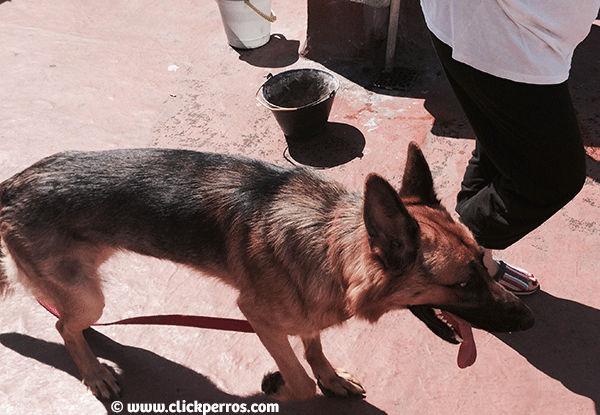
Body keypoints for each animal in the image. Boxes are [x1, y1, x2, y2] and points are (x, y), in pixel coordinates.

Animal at [1, 143, 536, 404]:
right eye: (462, 283)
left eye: (484, 263)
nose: (528, 321)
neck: (330, 243)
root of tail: (11, 185)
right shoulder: (256, 315)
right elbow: (299, 381)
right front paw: (281, 387)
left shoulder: (306, 310)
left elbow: (314, 345)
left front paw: (330, 377)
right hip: (89, 294)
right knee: (61, 325)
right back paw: (93, 372)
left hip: (84, 289)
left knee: (67, 320)